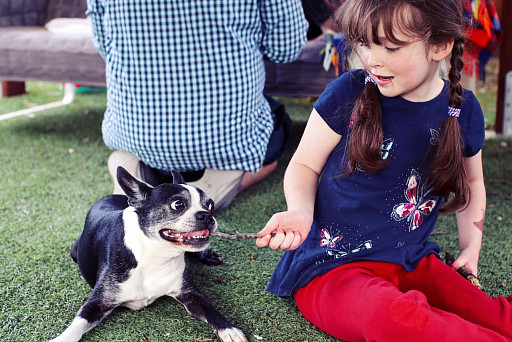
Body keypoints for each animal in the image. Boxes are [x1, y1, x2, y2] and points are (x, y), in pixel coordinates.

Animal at [50, 166, 248, 342]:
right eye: (178, 204)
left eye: (211, 205)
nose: (207, 215)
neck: (155, 255)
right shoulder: (98, 303)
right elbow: (77, 325)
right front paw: (61, 338)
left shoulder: (190, 294)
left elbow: (211, 309)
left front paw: (229, 329)